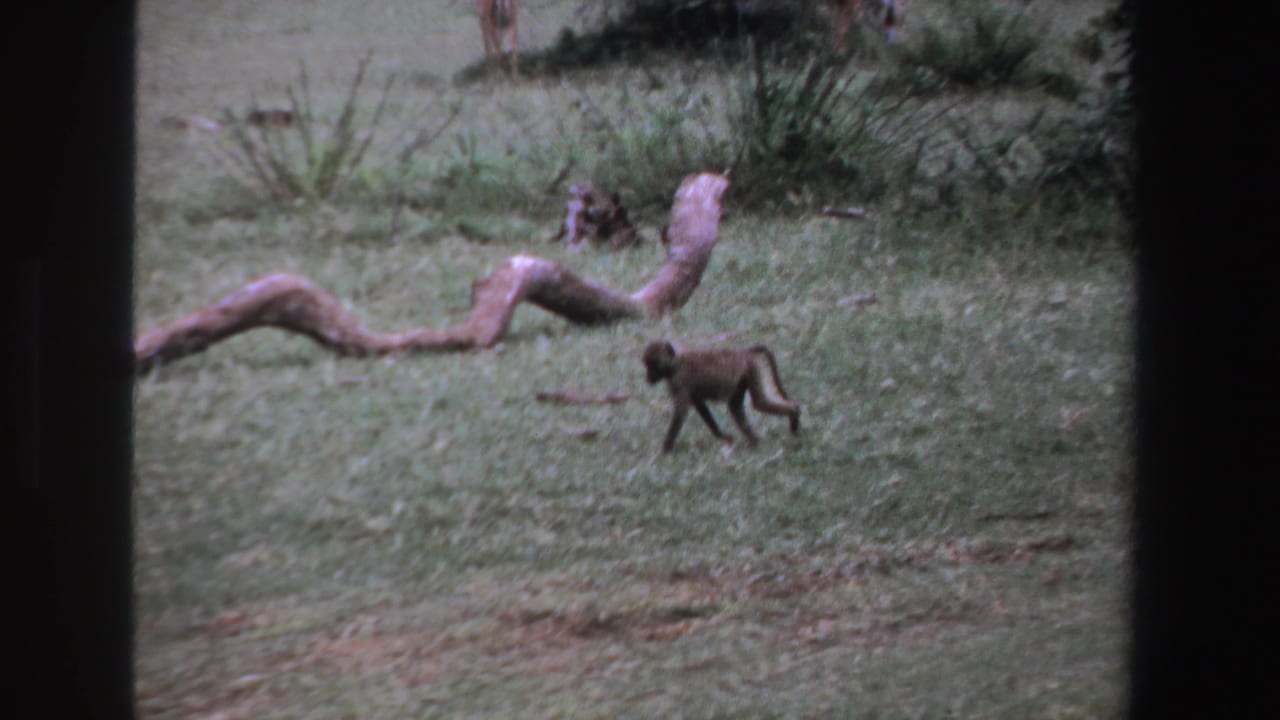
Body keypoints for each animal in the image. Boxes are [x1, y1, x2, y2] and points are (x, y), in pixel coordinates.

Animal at [641, 339, 801, 453]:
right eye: (647, 365)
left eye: (651, 365)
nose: (647, 378)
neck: (675, 363)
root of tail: (742, 353)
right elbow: (700, 406)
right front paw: (723, 436)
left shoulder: (679, 379)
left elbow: (680, 413)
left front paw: (665, 450)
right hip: (745, 374)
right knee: (737, 406)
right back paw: (754, 442)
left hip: (750, 368)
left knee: (759, 403)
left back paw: (794, 413)